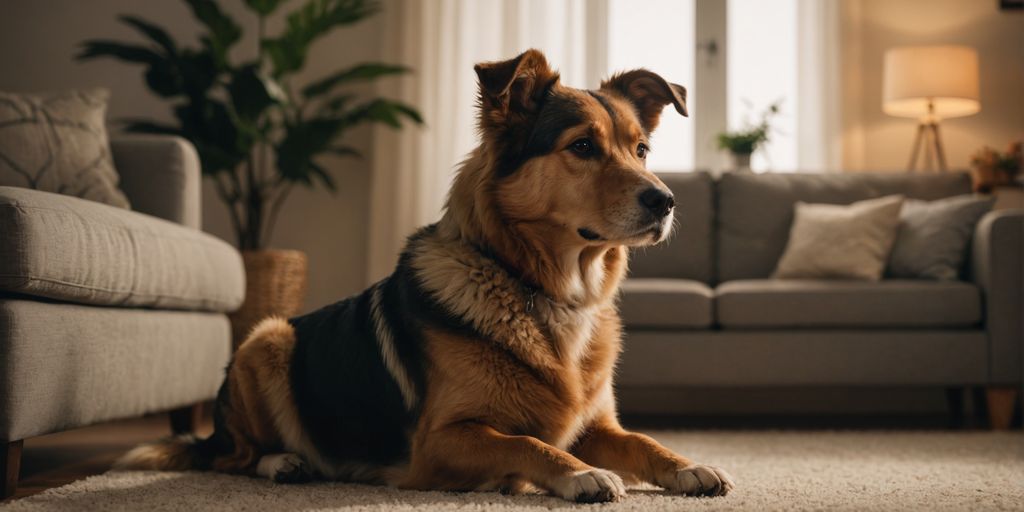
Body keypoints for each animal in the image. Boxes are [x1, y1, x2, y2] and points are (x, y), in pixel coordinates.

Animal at [116, 48, 733, 503]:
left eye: (641, 149)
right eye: (582, 146)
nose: (666, 201)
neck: (540, 288)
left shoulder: (598, 427)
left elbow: (644, 441)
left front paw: (689, 465)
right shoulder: (440, 441)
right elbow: (527, 444)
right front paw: (577, 474)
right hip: (266, 340)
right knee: (232, 458)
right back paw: (284, 462)